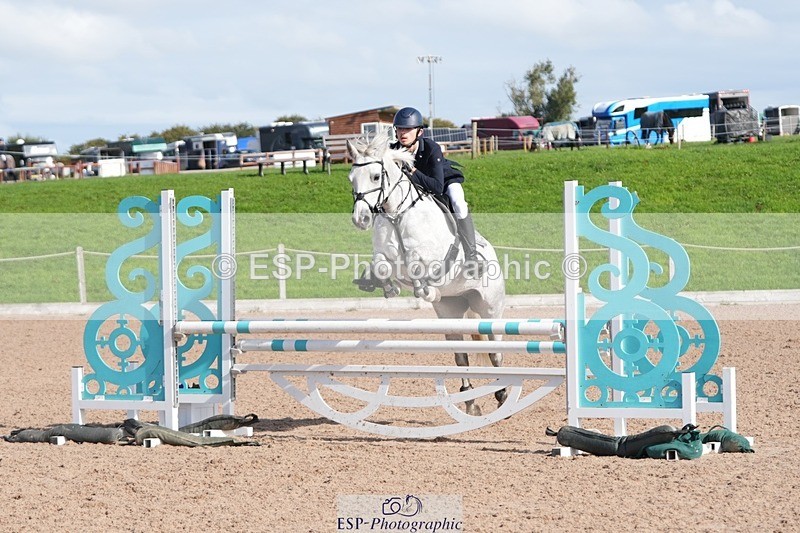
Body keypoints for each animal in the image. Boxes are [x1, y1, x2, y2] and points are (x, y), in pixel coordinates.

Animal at [346, 133, 507, 415]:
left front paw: (426, 290)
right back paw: (469, 401)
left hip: (490, 310)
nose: (361, 219)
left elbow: (417, 265)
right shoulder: (385, 256)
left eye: (376, 177)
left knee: (495, 351)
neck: (397, 214)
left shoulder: (432, 257)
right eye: (351, 178)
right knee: (461, 355)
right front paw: (387, 287)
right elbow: (382, 265)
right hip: (451, 312)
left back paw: (502, 393)